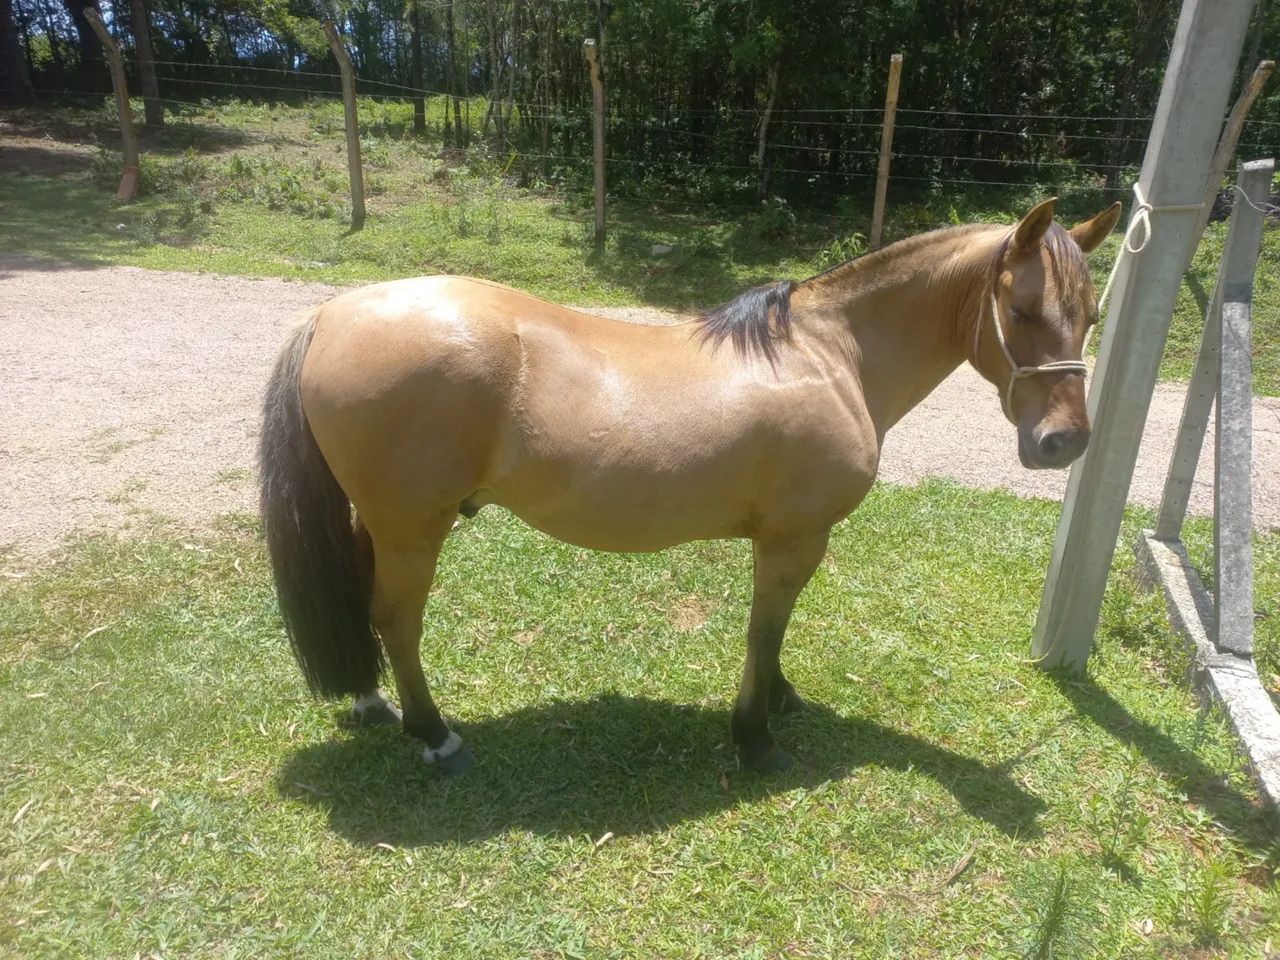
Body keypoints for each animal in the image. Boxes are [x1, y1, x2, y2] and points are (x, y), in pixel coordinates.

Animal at [259, 197, 1121, 775]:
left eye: (1091, 315)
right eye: (1021, 307)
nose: (1066, 441)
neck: (832, 354)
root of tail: (332, 315)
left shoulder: (788, 539)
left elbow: (775, 630)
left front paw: (781, 700)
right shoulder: (794, 537)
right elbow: (764, 629)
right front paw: (755, 736)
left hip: (380, 524)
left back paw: (371, 701)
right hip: (415, 528)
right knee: (397, 620)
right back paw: (434, 734)